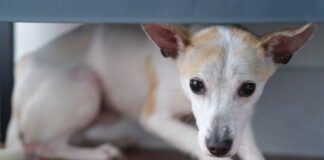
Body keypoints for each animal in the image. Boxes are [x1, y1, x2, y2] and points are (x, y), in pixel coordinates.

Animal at [0, 23, 316, 159]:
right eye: (195, 85)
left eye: (249, 88)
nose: (218, 146)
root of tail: (24, 62)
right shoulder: (155, 117)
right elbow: (191, 141)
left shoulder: (240, 123)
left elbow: (249, 148)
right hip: (86, 83)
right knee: (44, 146)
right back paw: (97, 153)